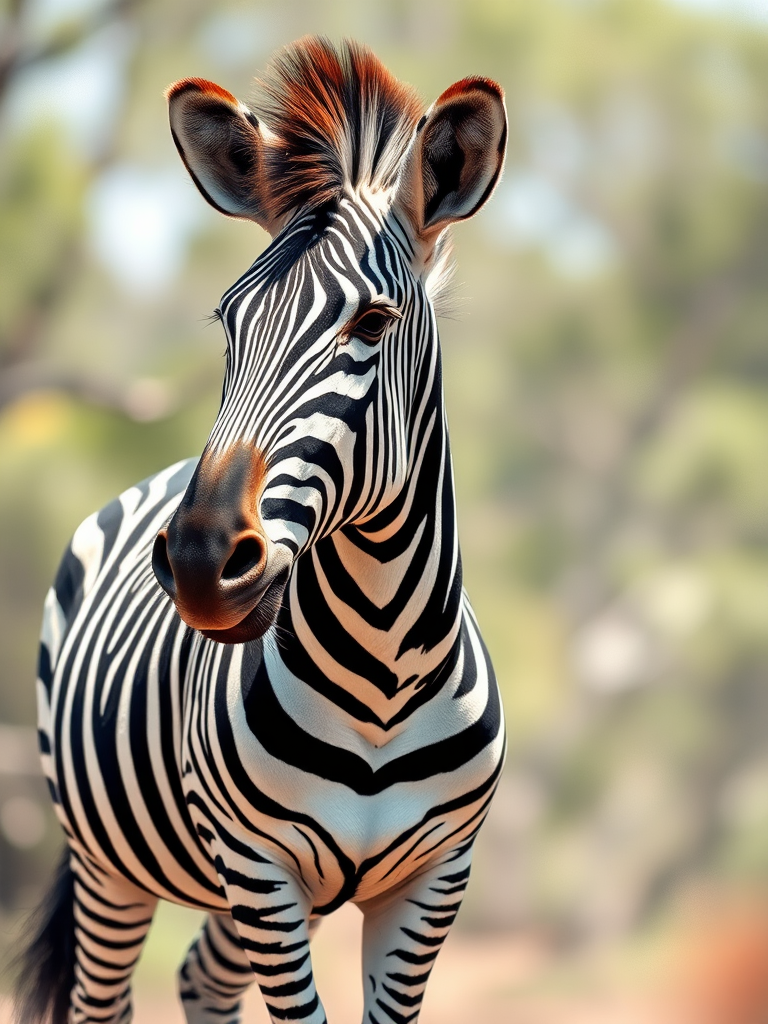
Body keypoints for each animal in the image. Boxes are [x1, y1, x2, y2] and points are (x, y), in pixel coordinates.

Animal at [14, 37, 507, 1024]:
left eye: (372, 322)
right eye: (228, 321)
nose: (202, 560)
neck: (384, 674)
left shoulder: (434, 878)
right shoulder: (260, 868)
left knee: (201, 977)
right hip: (106, 863)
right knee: (102, 997)